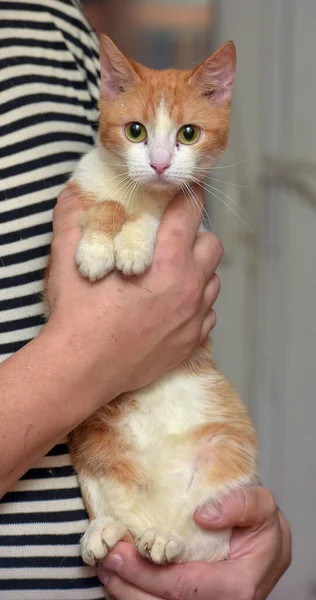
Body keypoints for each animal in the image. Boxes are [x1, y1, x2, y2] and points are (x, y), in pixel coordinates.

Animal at [65, 36, 260, 568]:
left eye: (188, 134)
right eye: (136, 131)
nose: (157, 163)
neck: (137, 190)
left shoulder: (183, 208)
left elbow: (154, 214)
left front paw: (133, 244)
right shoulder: (81, 195)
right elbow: (105, 206)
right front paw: (98, 247)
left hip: (226, 455)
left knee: (201, 545)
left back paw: (166, 540)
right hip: (91, 443)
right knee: (118, 509)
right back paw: (108, 530)